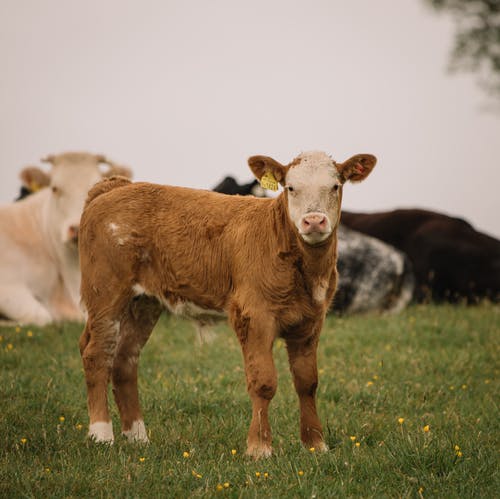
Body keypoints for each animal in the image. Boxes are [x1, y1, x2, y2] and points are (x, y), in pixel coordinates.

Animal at [79, 150, 376, 458]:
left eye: (335, 186)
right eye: (290, 188)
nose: (314, 221)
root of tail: (116, 187)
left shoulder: (311, 321)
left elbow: (307, 382)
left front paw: (315, 444)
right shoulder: (254, 315)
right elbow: (263, 381)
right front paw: (259, 447)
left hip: (144, 302)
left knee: (125, 360)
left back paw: (137, 436)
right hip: (105, 292)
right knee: (97, 354)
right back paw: (101, 434)